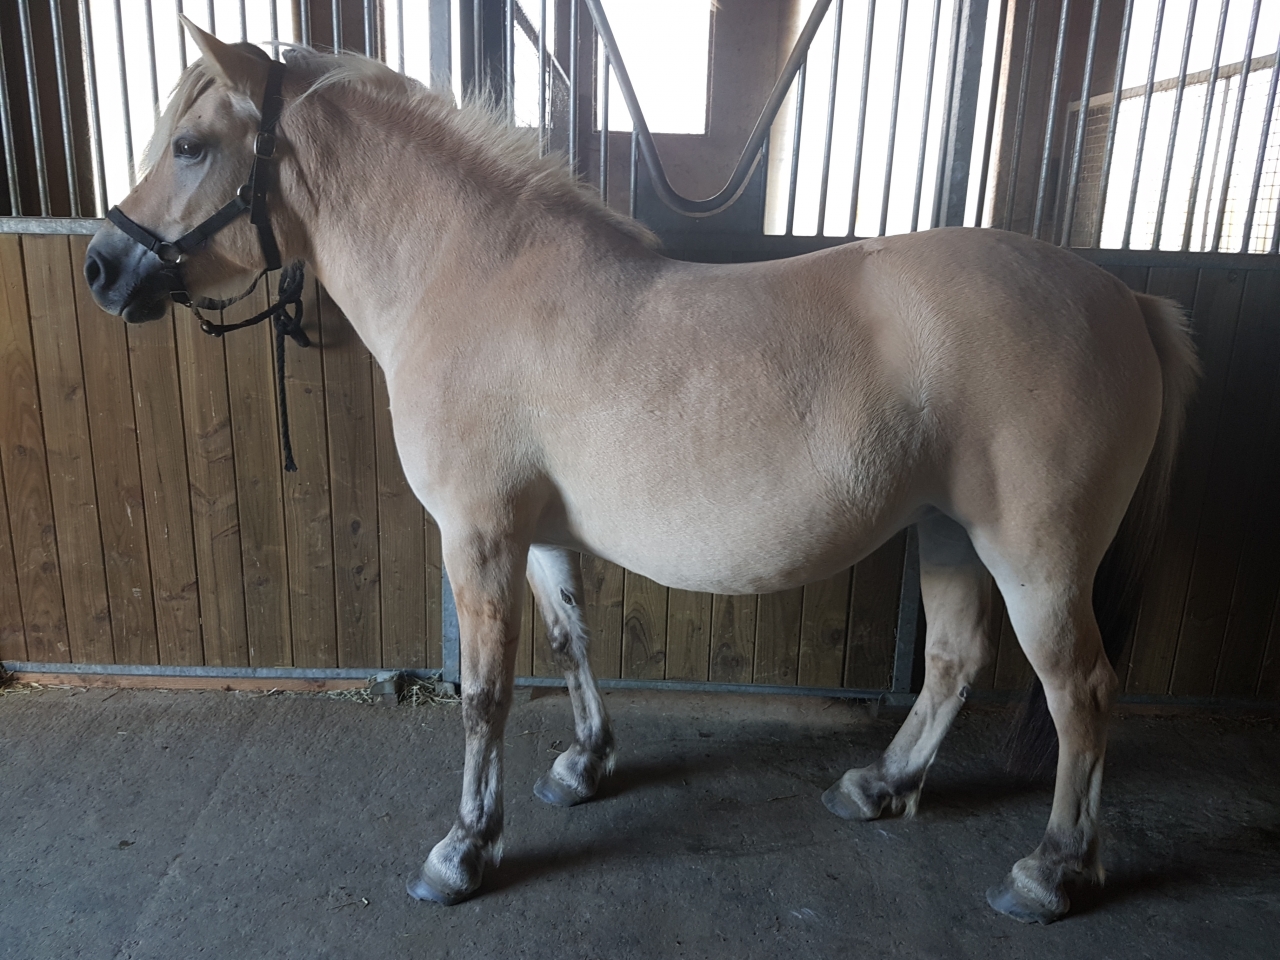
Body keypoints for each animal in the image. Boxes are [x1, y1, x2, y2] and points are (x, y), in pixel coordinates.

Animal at [83, 21, 1198, 924]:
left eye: (189, 146)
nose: (101, 267)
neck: (470, 277)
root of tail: (1124, 299)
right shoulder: (535, 533)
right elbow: (572, 642)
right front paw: (584, 766)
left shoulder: (477, 535)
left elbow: (484, 694)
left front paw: (463, 852)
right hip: (946, 530)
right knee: (956, 661)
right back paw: (879, 787)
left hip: (1035, 557)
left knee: (1081, 691)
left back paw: (1051, 872)